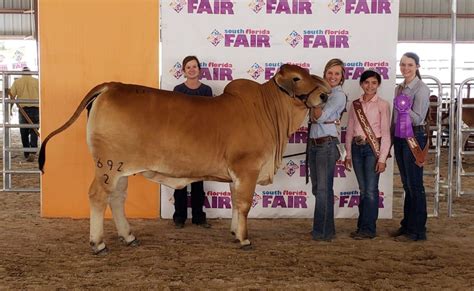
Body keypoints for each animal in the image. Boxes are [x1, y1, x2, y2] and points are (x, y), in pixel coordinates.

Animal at [39, 63, 330, 253]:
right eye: (296, 78)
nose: (324, 95)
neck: (267, 110)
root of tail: (112, 86)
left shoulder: (235, 175)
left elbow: (235, 203)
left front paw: (234, 232)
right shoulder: (247, 168)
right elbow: (244, 204)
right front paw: (245, 239)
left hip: (121, 170)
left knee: (117, 199)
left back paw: (129, 237)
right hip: (107, 167)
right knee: (98, 197)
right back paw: (98, 243)